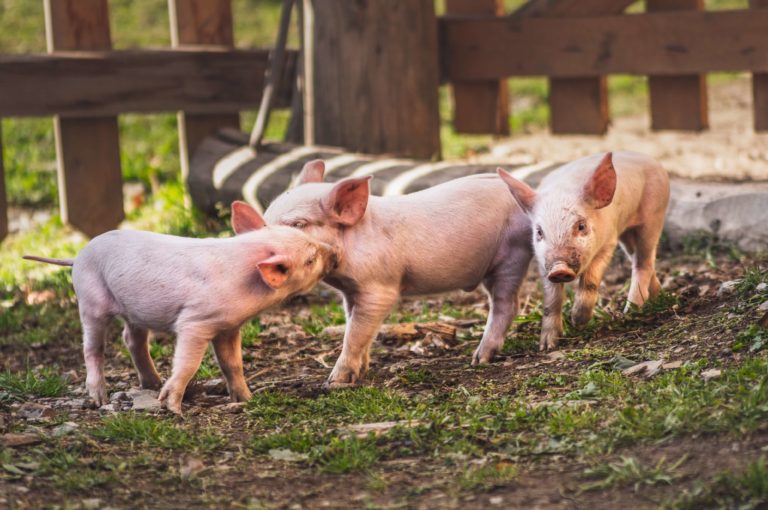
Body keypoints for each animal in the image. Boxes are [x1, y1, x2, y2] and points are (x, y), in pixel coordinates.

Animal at [23, 202, 336, 414]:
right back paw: (100, 399)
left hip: (133, 311)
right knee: (92, 347)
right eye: (310, 259)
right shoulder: (195, 322)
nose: (334, 253)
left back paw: (152, 383)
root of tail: (77, 256)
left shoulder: (228, 326)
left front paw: (248, 399)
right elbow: (188, 362)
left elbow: (233, 364)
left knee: (132, 339)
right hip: (90, 299)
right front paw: (172, 407)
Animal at [257, 160, 533, 386]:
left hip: (512, 255)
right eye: (266, 217)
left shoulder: (379, 287)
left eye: (298, 224)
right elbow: (356, 327)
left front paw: (334, 383)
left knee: (507, 304)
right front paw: (362, 372)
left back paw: (479, 359)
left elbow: (355, 332)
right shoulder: (351, 291)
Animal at [497, 151, 670, 350]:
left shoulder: (608, 242)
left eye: (581, 226)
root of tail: (649, 159)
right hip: (628, 235)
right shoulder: (543, 262)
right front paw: (547, 346)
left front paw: (578, 322)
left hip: (654, 216)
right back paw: (658, 296)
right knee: (639, 260)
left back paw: (631, 312)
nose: (559, 268)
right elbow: (551, 298)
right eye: (539, 232)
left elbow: (590, 280)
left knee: (644, 262)